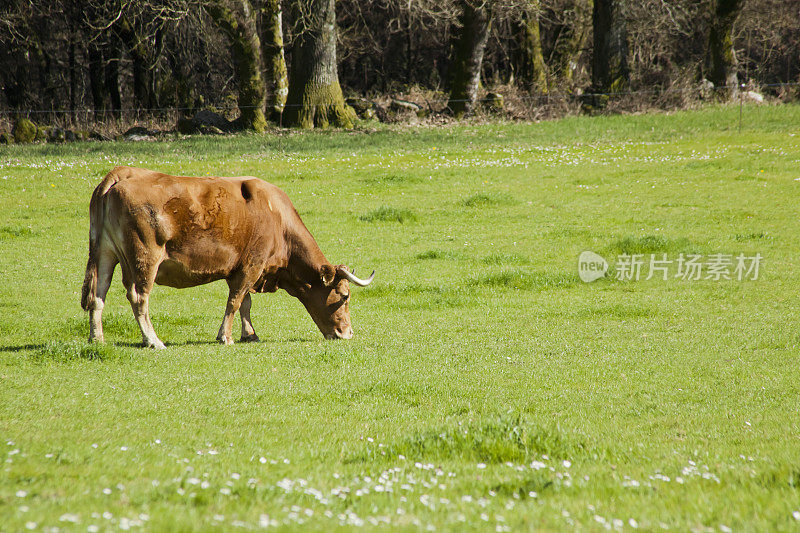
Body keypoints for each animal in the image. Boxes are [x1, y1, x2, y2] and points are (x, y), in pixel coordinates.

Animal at [79, 167, 374, 350]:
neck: (276, 217)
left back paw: (97, 338)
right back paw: (153, 340)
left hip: (105, 253)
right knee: (139, 297)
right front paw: (226, 337)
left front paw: (249, 334)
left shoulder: (241, 270)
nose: (347, 333)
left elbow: (245, 303)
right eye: (344, 295)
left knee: (97, 296)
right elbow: (235, 301)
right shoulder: (251, 265)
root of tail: (122, 173)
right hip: (145, 258)